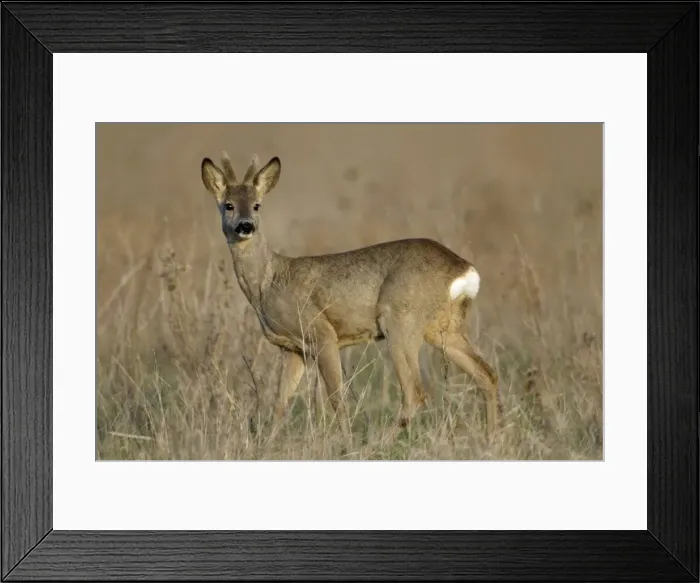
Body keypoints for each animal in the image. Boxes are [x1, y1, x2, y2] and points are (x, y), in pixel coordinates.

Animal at [200, 152, 502, 440]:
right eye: (228, 204)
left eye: (256, 205)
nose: (245, 226)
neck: (269, 281)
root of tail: (464, 269)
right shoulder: (293, 348)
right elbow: (280, 404)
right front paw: (266, 445)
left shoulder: (321, 332)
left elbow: (337, 399)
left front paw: (347, 444)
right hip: (443, 328)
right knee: (486, 374)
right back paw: (490, 441)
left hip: (401, 321)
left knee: (415, 392)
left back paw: (377, 444)